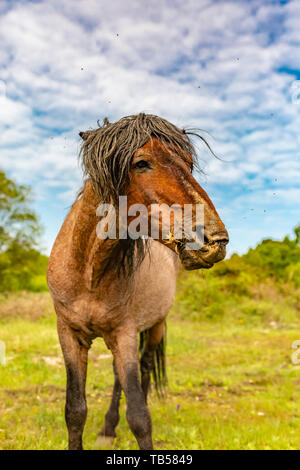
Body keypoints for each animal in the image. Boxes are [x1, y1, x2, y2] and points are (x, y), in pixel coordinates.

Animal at [48, 112, 229, 450]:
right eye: (142, 163)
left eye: (188, 163)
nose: (216, 240)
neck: (89, 274)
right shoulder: (69, 334)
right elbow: (75, 410)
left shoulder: (126, 334)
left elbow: (139, 417)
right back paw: (108, 429)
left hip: (153, 327)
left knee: (142, 371)